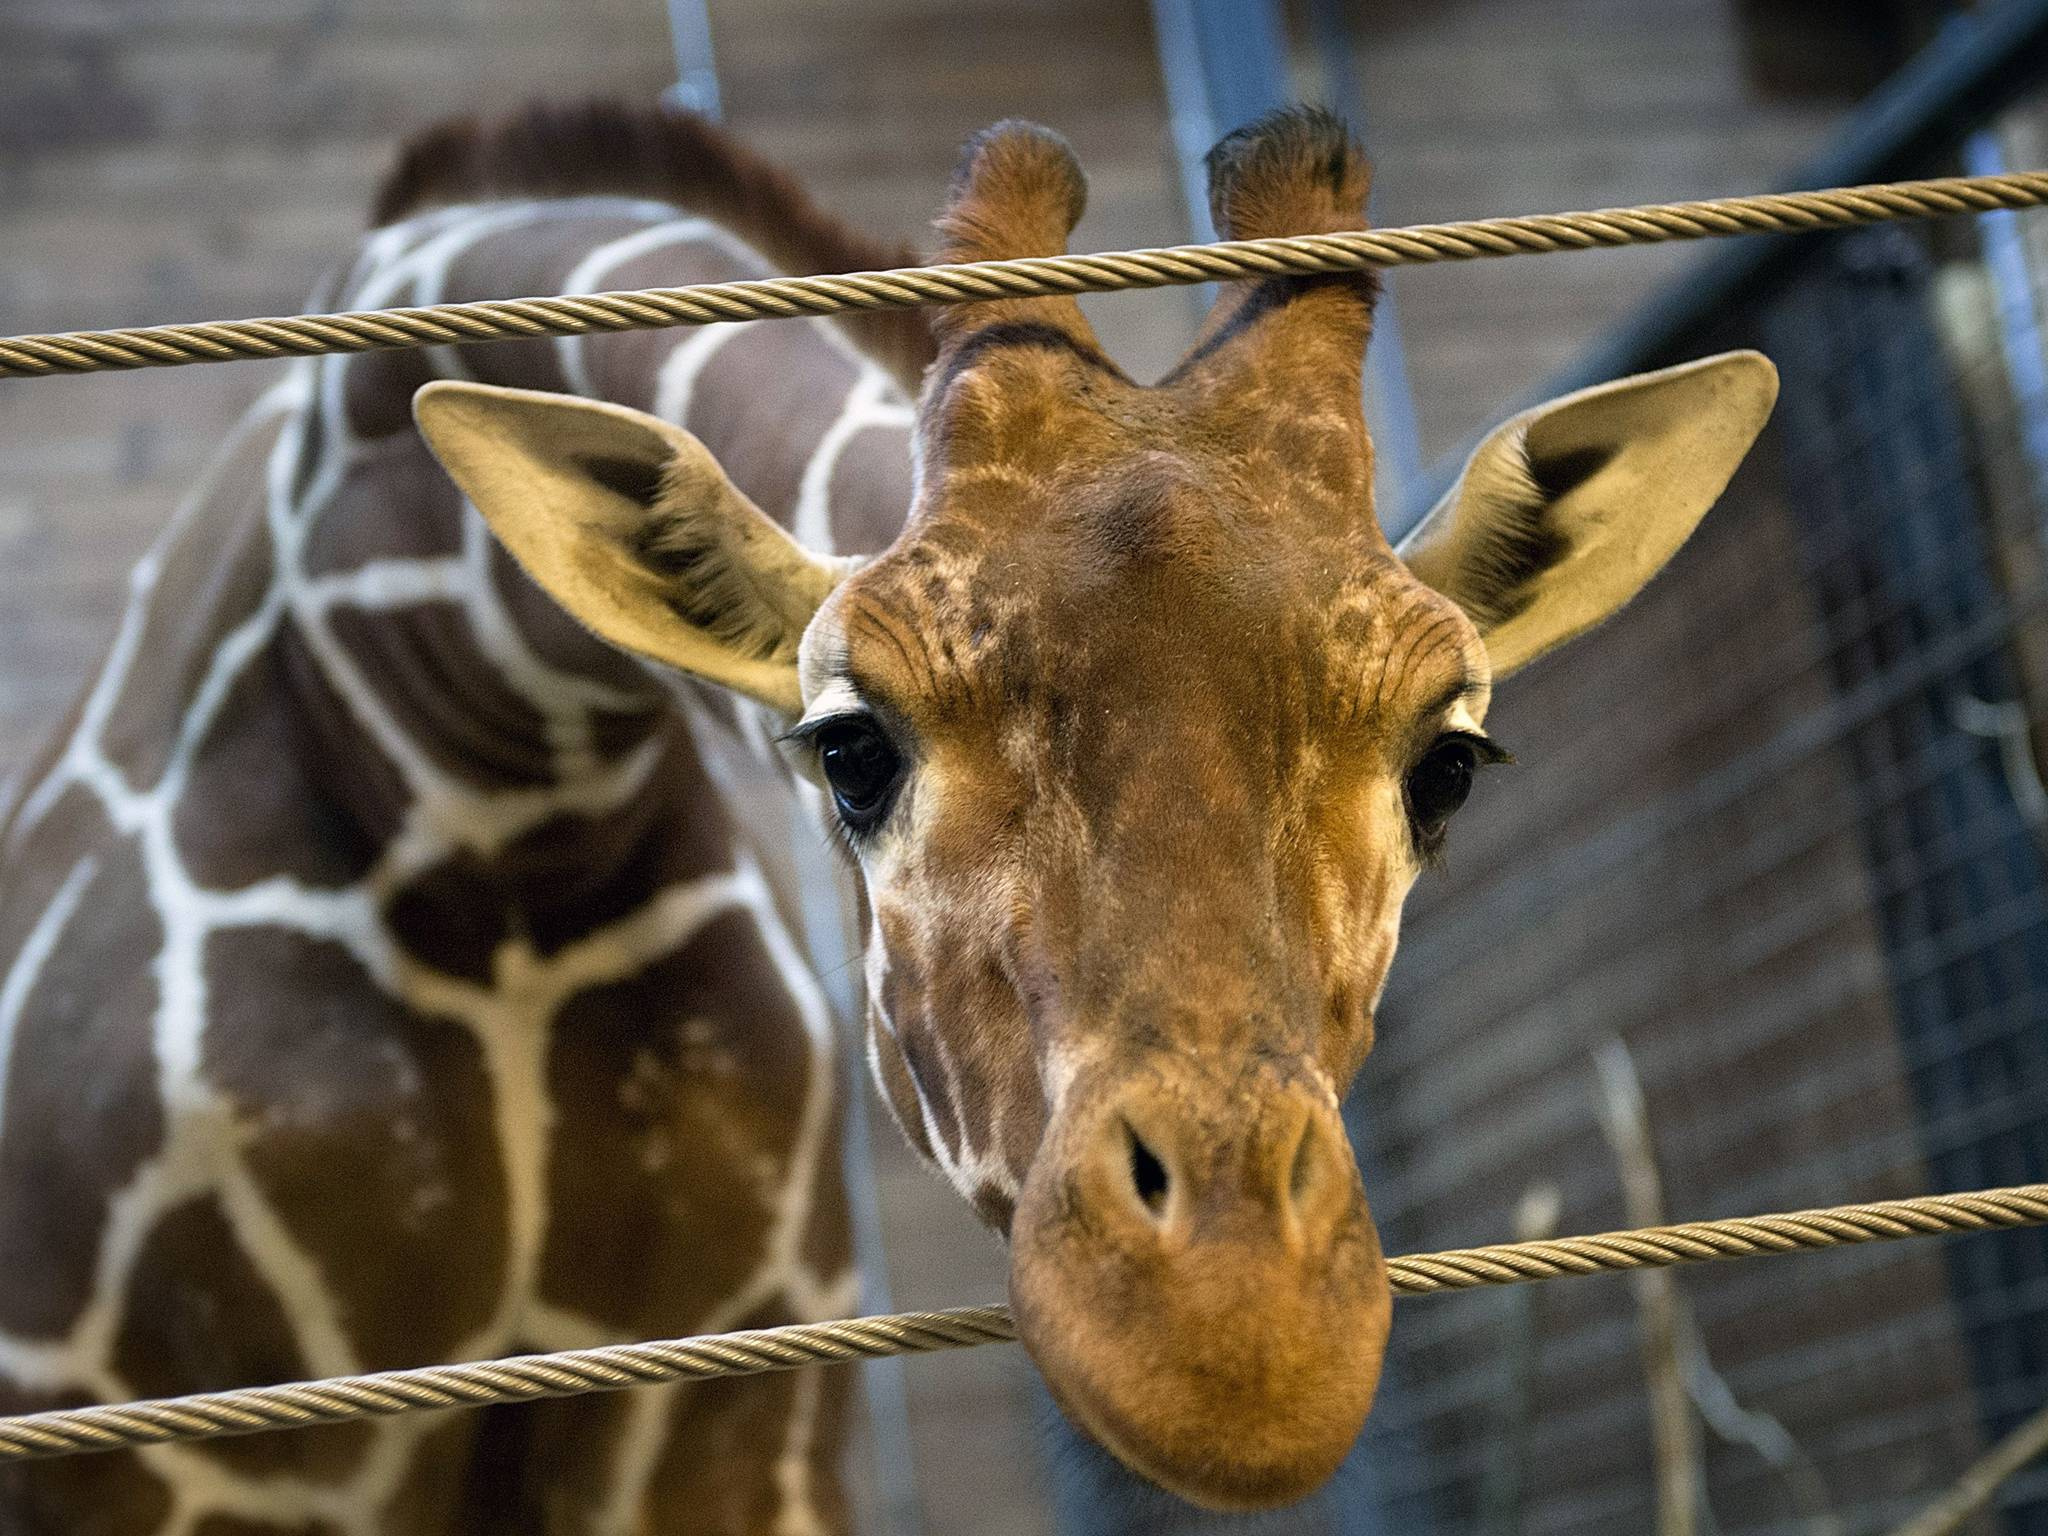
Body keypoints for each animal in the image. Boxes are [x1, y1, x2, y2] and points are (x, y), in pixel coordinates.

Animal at [0, 102, 1769, 1531]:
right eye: (852, 750)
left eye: (1446, 762)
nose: (1235, 1344)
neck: (479, 792)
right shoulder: (162, 1456)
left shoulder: (732, 1420)